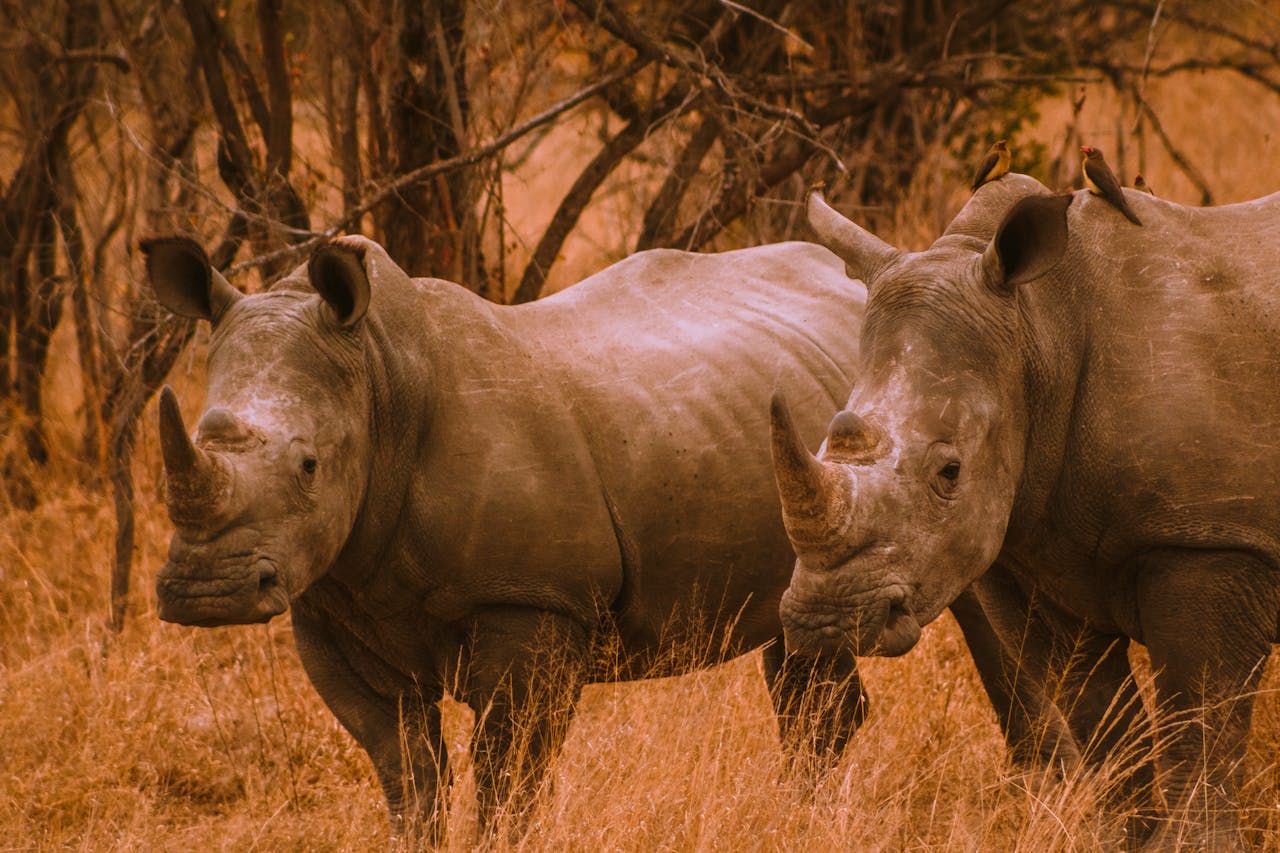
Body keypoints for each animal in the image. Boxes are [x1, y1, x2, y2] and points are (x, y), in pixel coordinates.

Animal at [145, 233, 1054, 835]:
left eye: (307, 463)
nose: (206, 592)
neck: (377, 380)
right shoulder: (330, 597)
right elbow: (405, 769)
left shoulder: (531, 600)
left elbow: (509, 771)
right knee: (807, 649)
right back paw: (804, 818)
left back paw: (1029, 789)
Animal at [773, 172, 1280, 845]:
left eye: (950, 472)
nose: (823, 624)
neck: (1039, 332)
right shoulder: (1026, 547)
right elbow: (1098, 720)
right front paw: (1122, 841)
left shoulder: (1208, 539)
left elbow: (1200, 723)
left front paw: (1191, 848)